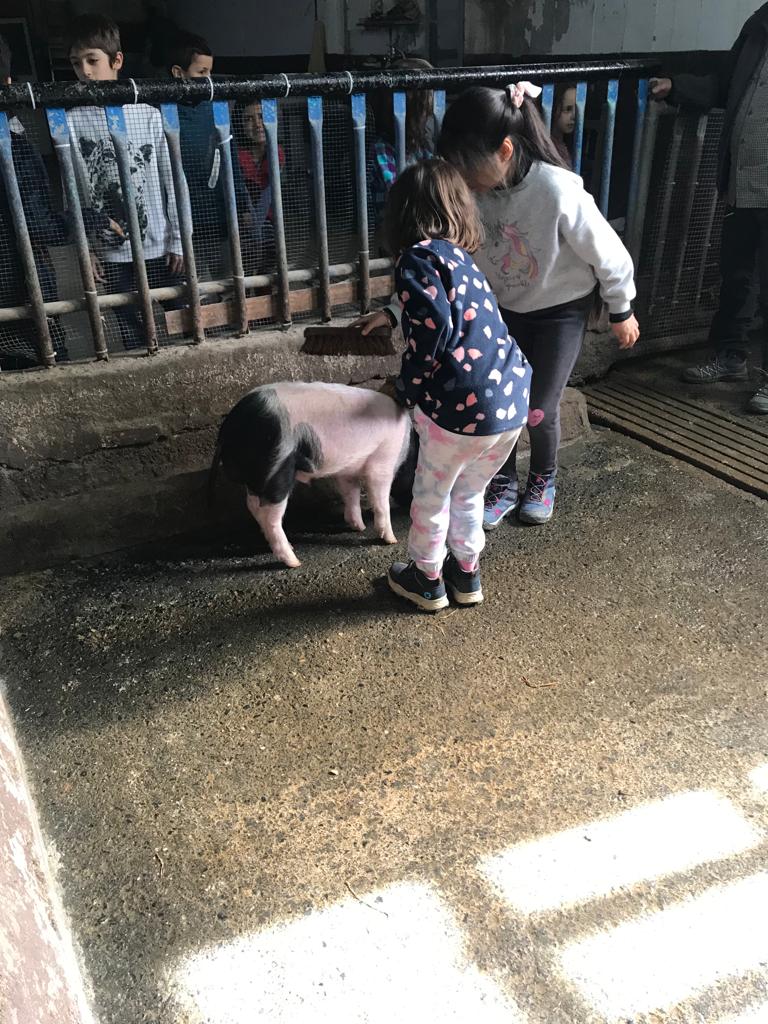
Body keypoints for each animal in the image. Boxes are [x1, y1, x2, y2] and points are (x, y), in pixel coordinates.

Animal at [210, 381, 413, 568]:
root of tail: (229, 426)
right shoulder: (383, 459)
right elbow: (381, 500)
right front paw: (391, 539)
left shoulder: (348, 470)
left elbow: (351, 494)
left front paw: (359, 527)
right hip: (277, 468)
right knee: (270, 515)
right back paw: (293, 561)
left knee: (253, 505)